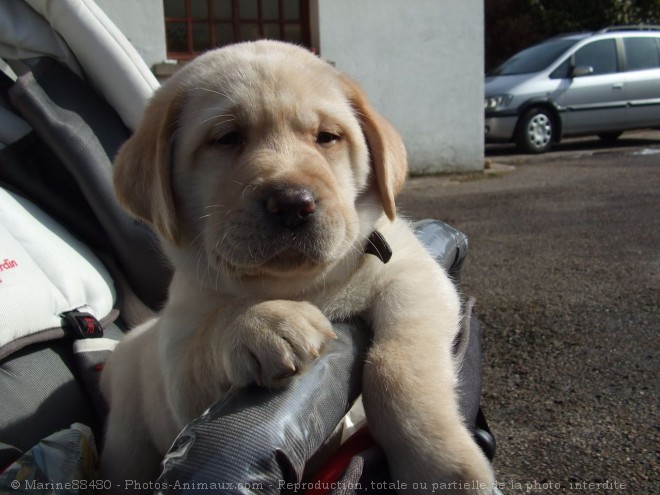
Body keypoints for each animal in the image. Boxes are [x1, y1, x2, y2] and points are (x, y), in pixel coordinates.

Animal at [102, 40, 496, 494]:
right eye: (227, 138)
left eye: (326, 137)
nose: (291, 203)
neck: (302, 286)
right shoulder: (181, 385)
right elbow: (214, 329)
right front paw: (263, 322)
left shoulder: (417, 278)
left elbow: (394, 368)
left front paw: (439, 467)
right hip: (128, 439)